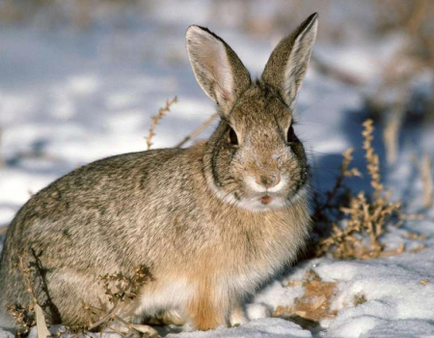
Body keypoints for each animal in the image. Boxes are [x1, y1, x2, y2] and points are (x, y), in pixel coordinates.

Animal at [0, 12, 318, 332]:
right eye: (232, 136)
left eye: (290, 133)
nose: (268, 178)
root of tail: (8, 288)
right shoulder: (208, 287)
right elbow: (209, 318)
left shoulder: (234, 289)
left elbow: (236, 311)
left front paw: (245, 324)